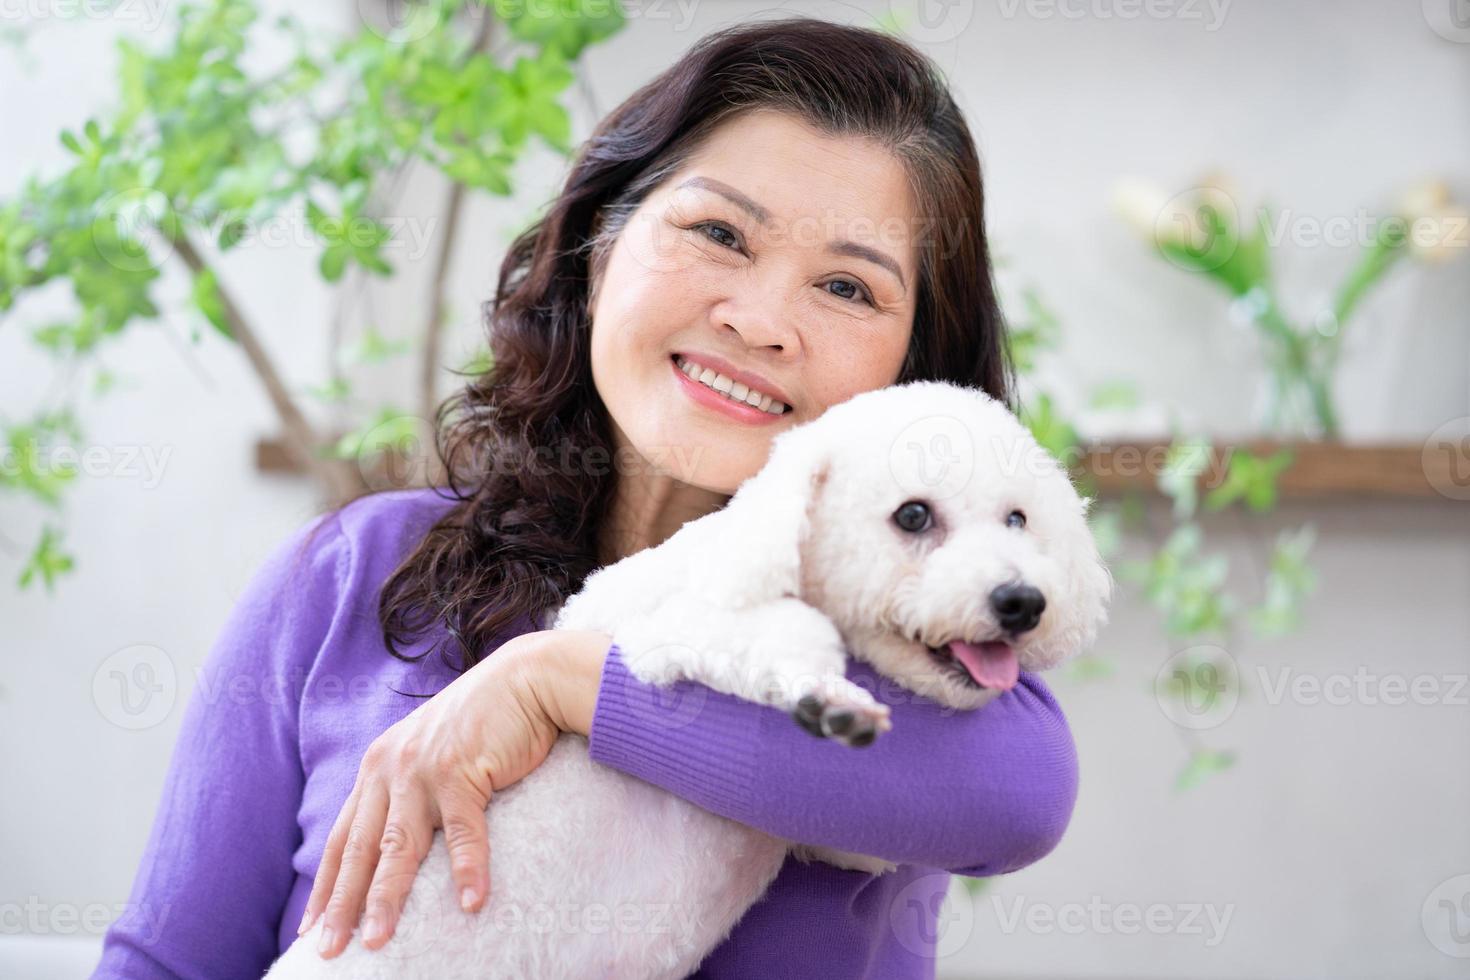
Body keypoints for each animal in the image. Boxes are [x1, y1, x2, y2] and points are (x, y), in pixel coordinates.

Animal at [267, 382, 1111, 980]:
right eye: (912, 516)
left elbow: (855, 846)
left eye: (1018, 520)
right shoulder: (654, 633)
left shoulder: (817, 837)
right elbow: (778, 633)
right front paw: (826, 694)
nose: (1021, 602)